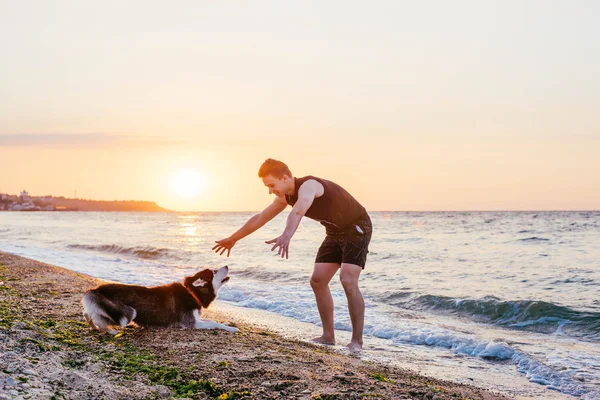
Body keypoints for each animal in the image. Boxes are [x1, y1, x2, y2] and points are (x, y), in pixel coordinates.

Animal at [82, 266, 237, 334]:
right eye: (214, 272)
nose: (227, 266)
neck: (192, 292)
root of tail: (96, 289)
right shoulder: (191, 323)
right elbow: (214, 322)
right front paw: (231, 328)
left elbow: (213, 320)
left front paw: (228, 323)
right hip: (127, 313)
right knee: (100, 319)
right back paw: (110, 331)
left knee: (88, 313)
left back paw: (94, 326)